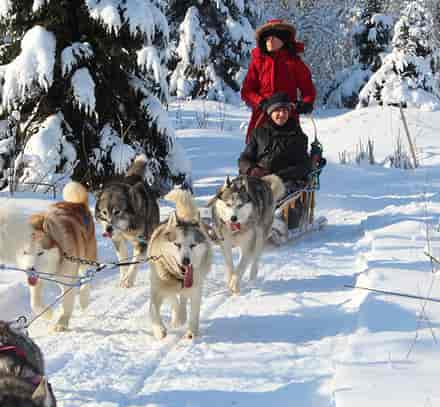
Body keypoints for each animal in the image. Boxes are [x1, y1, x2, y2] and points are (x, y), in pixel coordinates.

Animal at [28, 183, 97, 334]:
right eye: (25, 252)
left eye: (40, 253)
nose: (30, 270)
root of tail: (78, 204)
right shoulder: (39, 279)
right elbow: (35, 303)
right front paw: (48, 314)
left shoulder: (68, 278)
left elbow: (67, 302)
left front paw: (62, 322)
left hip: (86, 259)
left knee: (87, 277)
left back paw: (83, 299)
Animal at [94, 155, 160, 288]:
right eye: (104, 212)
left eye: (117, 212)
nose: (108, 229)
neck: (126, 228)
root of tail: (134, 177)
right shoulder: (118, 240)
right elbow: (123, 261)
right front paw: (123, 277)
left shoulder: (141, 242)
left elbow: (134, 262)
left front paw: (128, 280)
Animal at [147, 189, 212, 342]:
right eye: (177, 244)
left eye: (193, 245)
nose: (186, 261)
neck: (178, 277)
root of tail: (185, 217)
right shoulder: (158, 287)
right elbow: (153, 309)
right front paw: (159, 330)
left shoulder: (195, 288)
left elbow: (194, 312)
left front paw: (191, 332)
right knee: (174, 298)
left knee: (182, 298)